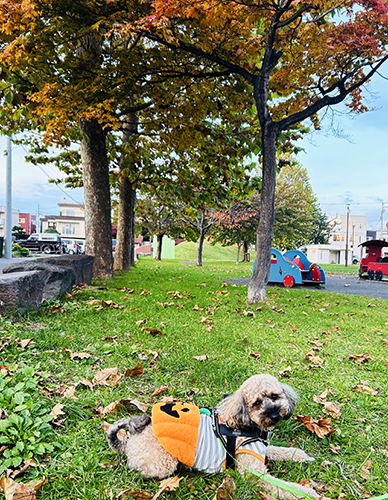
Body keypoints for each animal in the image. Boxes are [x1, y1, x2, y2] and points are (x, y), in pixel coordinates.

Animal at [106, 374, 318, 498]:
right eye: (257, 403)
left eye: (275, 396)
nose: (274, 415)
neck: (250, 427)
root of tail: (129, 442)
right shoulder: (254, 474)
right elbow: (284, 487)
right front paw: (308, 492)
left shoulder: (260, 449)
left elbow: (282, 451)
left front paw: (301, 456)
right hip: (163, 463)